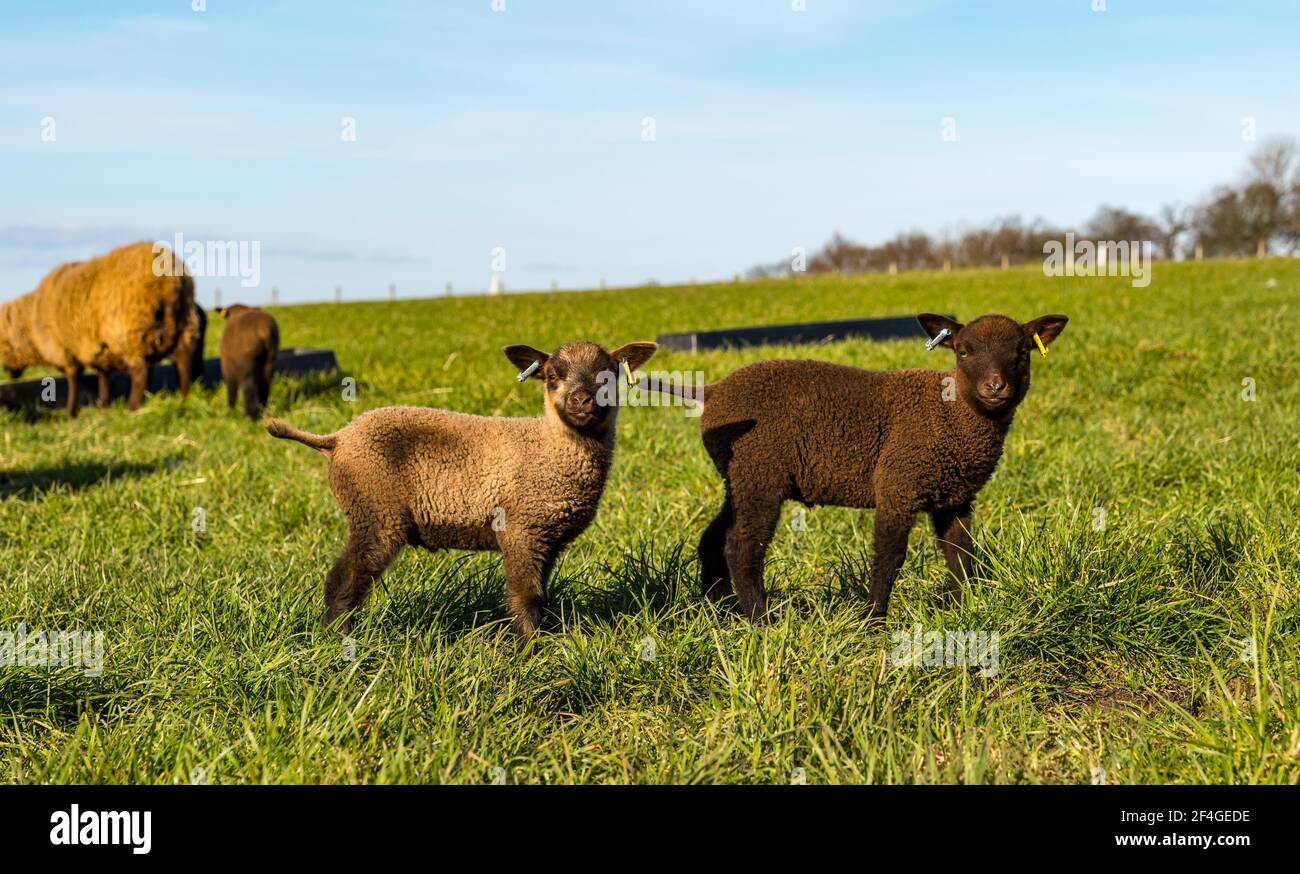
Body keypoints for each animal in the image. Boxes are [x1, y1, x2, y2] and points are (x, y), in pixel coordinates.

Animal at [0, 241, 198, 416]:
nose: (8, 373)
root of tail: (169, 283)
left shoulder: (66, 351)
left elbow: (74, 380)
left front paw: (70, 412)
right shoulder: (99, 347)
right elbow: (103, 377)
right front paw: (103, 406)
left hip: (130, 332)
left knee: (140, 373)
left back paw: (132, 409)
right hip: (184, 324)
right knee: (183, 361)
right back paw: (184, 400)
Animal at [265, 339, 658, 640]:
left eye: (607, 374)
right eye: (552, 376)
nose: (582, 400)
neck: (550, 446)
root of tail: (337, 439)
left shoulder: (547, 538)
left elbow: (541, 595)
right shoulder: (521, 530)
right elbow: (526, 597)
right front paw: (529, 651)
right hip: (375, 510)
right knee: (343, 580)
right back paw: (339, 641)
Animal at [644, 312, 1067, 621]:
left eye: (1023, 353)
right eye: (963, 352)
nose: (995, 387)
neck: (952, 414)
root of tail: (710, 391)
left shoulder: (955, 497)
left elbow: (960, 556)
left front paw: (966, 610)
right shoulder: (898, 484)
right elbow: (889, 559)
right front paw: (873, 621)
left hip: (738, 477)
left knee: (712, 540)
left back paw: (720, 610)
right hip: (759, 474)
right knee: (742, 547)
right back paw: (762, 621)